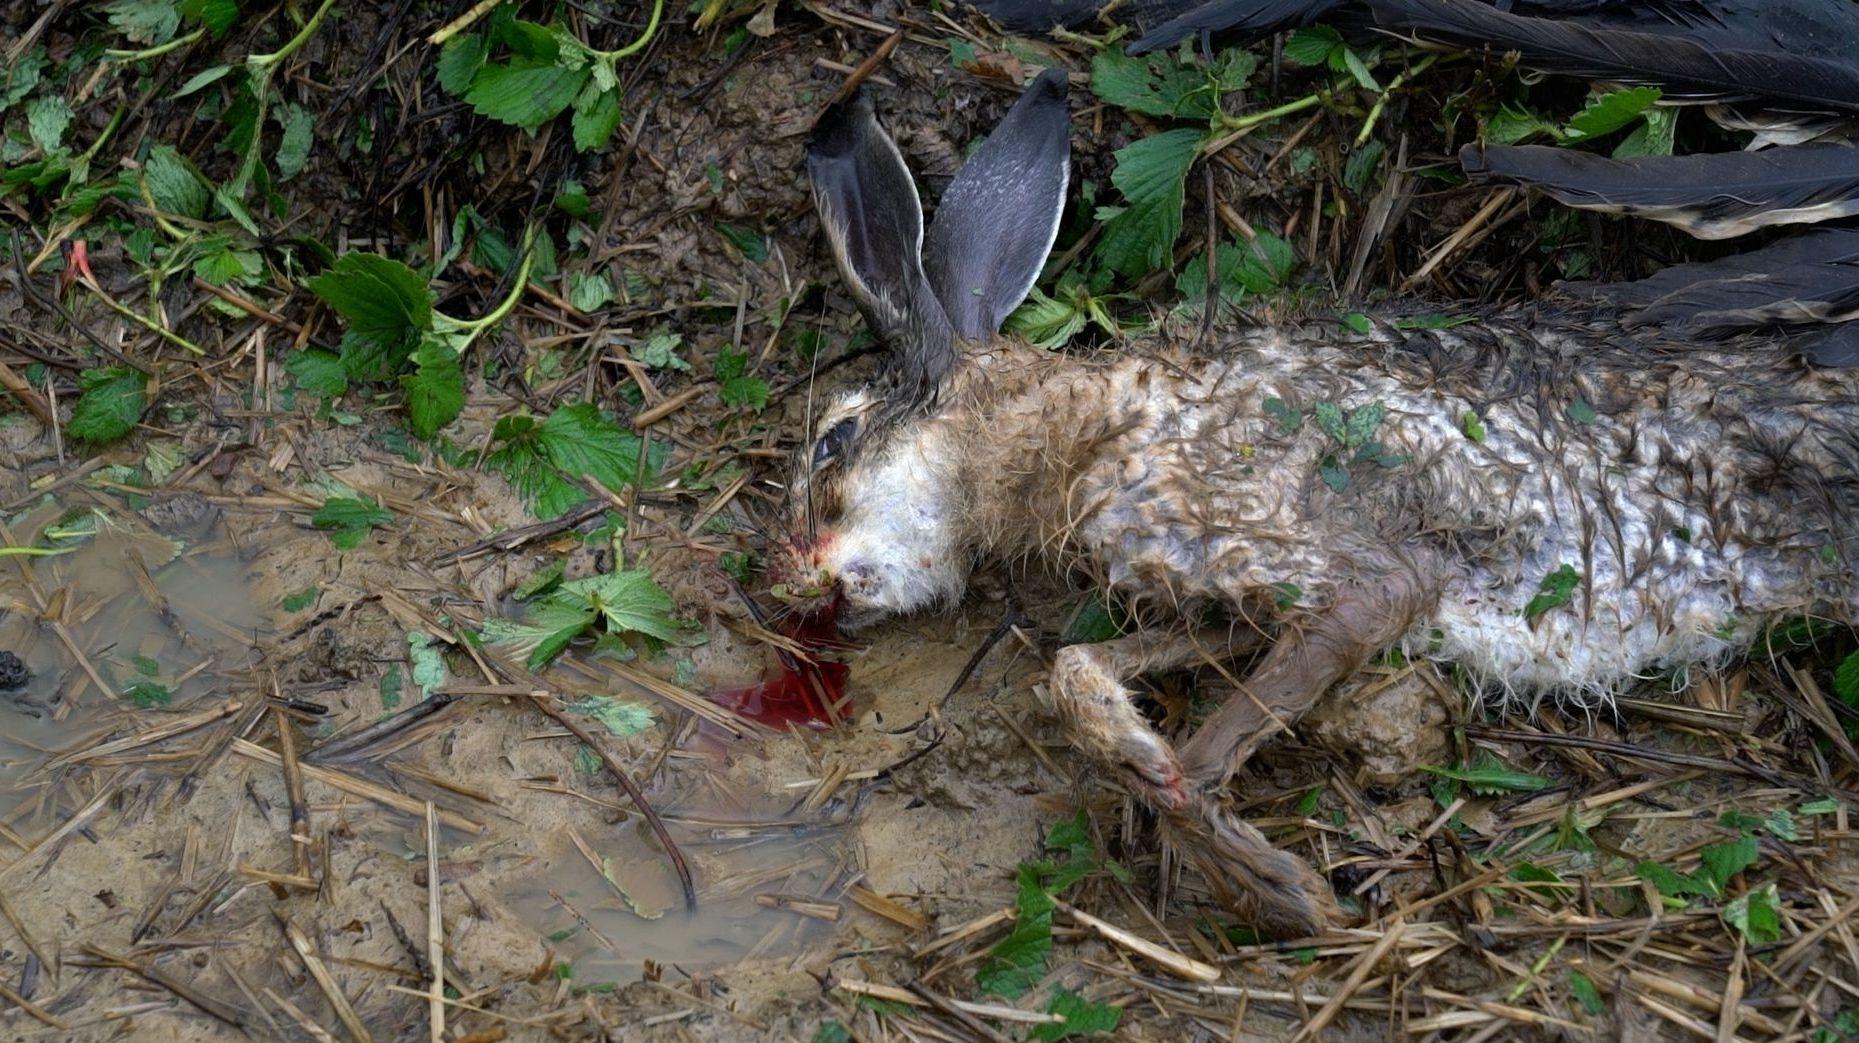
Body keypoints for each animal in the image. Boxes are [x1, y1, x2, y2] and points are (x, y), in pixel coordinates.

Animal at [779, 67, 1859, 937]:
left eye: (834, 439)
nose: (788, 577)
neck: (1067, 427)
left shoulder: (1342, 572)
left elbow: (1206, 753)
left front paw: (1277, 888)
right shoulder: (1226, 593)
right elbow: (1078, 670)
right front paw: (1145, 756)